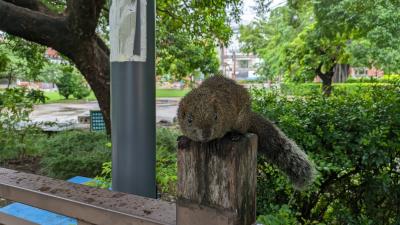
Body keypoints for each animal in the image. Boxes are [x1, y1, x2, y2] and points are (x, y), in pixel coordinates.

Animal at [178, 75, 316, 190]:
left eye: (216, 117)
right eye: (189, 120)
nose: (206, 135)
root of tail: (249, 117)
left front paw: (214, 141)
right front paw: (186, 138)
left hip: (241, 121)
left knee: (242, 131)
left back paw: (235, 135)